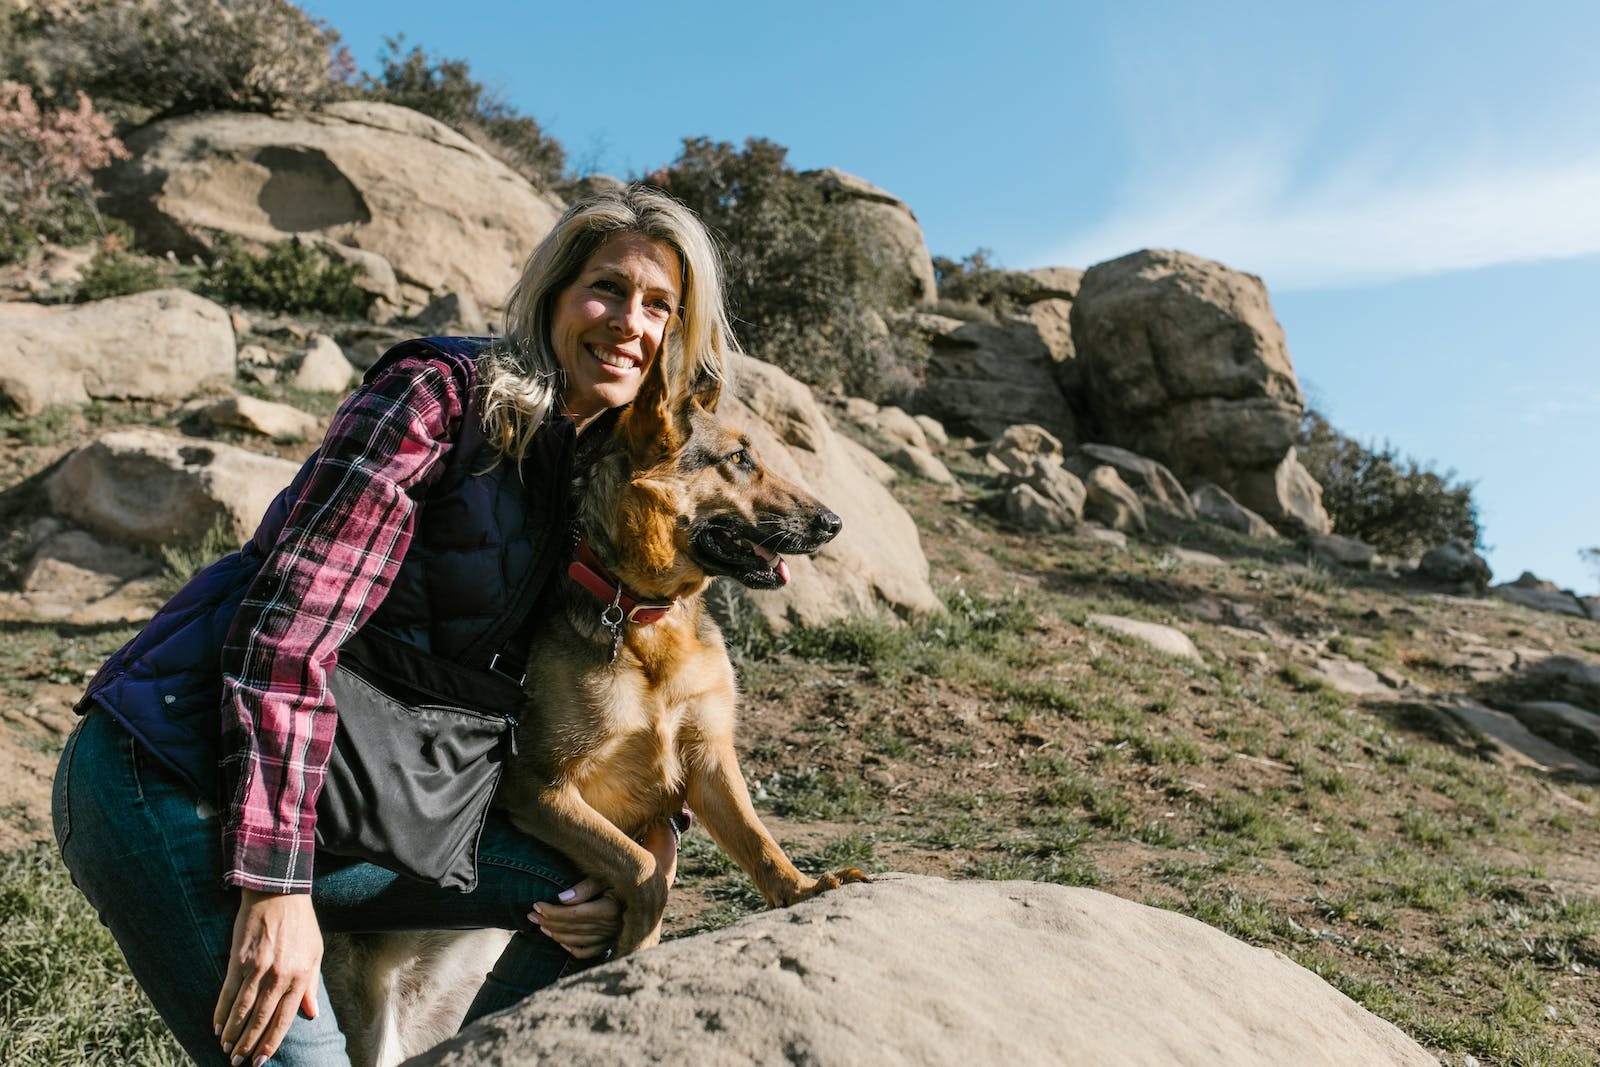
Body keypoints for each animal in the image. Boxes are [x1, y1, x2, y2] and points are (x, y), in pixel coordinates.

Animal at [324, 351, 870, 1067]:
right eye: (739, 459)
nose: (835, 523)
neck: (644, 616)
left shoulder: (708, 758)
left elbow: (758, 840)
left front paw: (803, 890)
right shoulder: (537, 788)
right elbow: (643, 870)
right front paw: (633, 950)